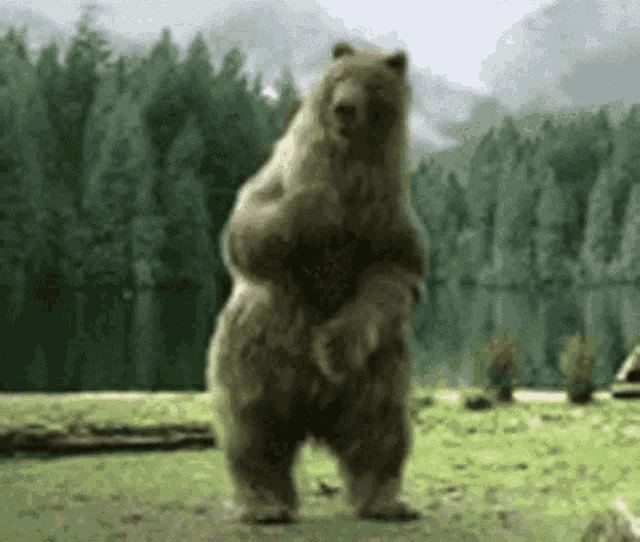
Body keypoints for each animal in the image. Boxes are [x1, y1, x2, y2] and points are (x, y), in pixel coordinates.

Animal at [207, 41, 428, 524]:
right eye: (338, 78)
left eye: (371, 82)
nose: (344, 108)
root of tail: (311, 413)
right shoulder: (279, 182)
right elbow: (249, 228)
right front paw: (315, 202)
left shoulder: (387, 221)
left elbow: (392, 279)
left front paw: (334, 346)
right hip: (257, 357)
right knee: (252, 431)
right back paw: (265, 504)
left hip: (376, 374)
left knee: (380, 429)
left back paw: (385, 502)